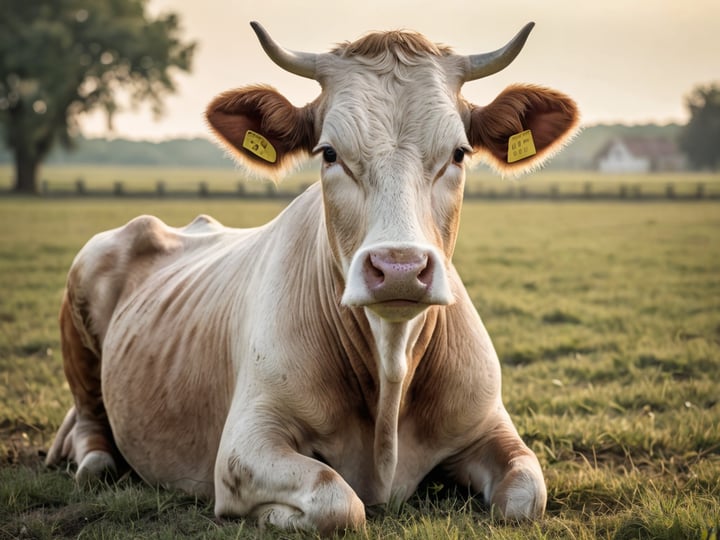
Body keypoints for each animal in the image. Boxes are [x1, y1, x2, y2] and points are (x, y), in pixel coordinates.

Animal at [46, 21, 579, 534]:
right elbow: (336, 499)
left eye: (460, 153)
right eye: (328, 153)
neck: (389, 370)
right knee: (91, 421)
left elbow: (526, 496)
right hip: (80, 309)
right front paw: (272, 515)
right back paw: (92, 459)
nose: (400, 268)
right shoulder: (245, 443)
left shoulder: (489, 422)